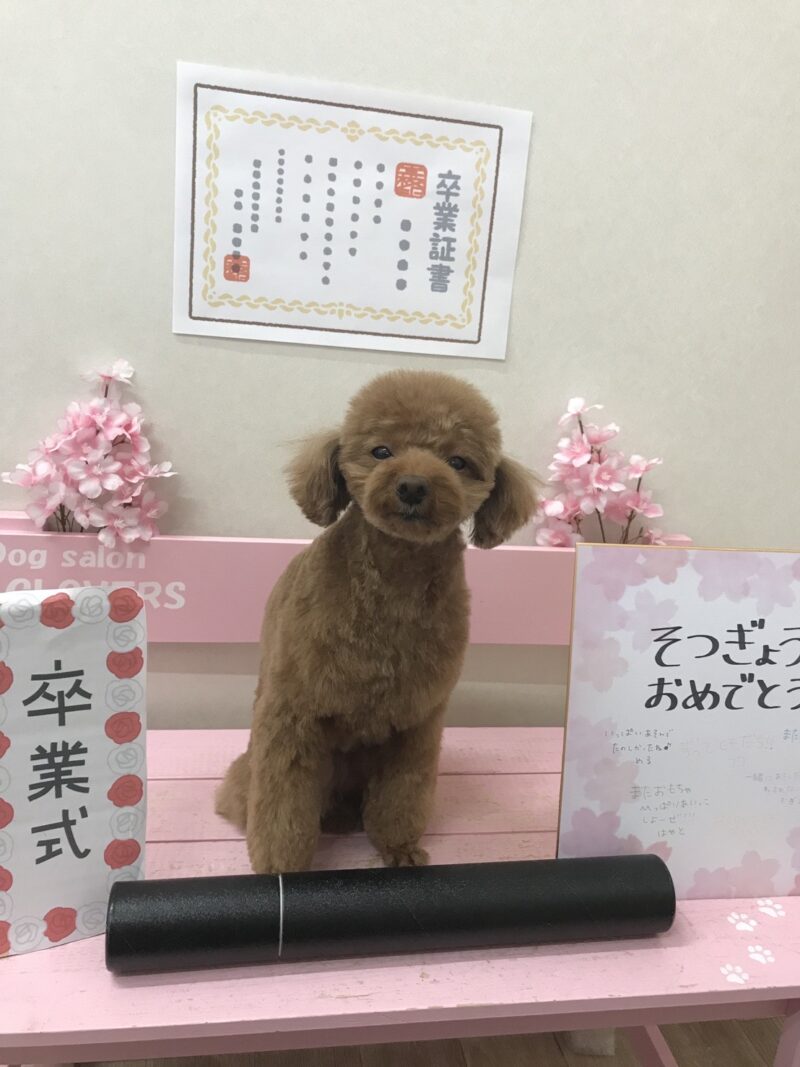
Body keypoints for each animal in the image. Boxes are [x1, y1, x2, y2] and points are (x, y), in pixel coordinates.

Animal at [215, 370, 537, 874]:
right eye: (381, 451)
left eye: (458, 461)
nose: (413, 486)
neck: (395, 581)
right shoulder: (292, 713)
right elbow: (282, 803)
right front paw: (279, 868)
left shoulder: (417, 720)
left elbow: (402, 794)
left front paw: (399, 848)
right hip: (260, 764)